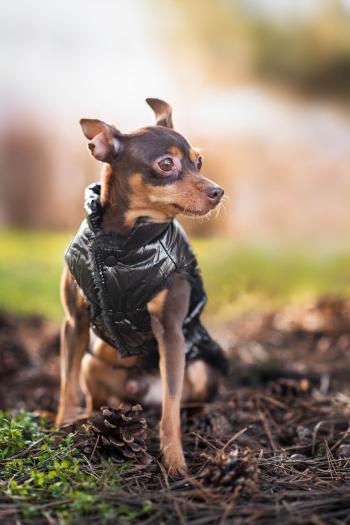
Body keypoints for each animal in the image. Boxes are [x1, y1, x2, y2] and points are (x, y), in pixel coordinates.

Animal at [56, 98, 227, 474]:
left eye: (199, 161)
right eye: (166, 164)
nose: (217, 191)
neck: (122, 244)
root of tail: (139, 394)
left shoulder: (171, 333)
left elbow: (171, 408)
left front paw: (175, 462)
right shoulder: (74, 323)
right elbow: (66, 383)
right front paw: (61, 426)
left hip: (201, 367)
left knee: (184, 402)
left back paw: (205, 420)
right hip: (93, 363)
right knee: (93, 393)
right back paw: (89, 420)